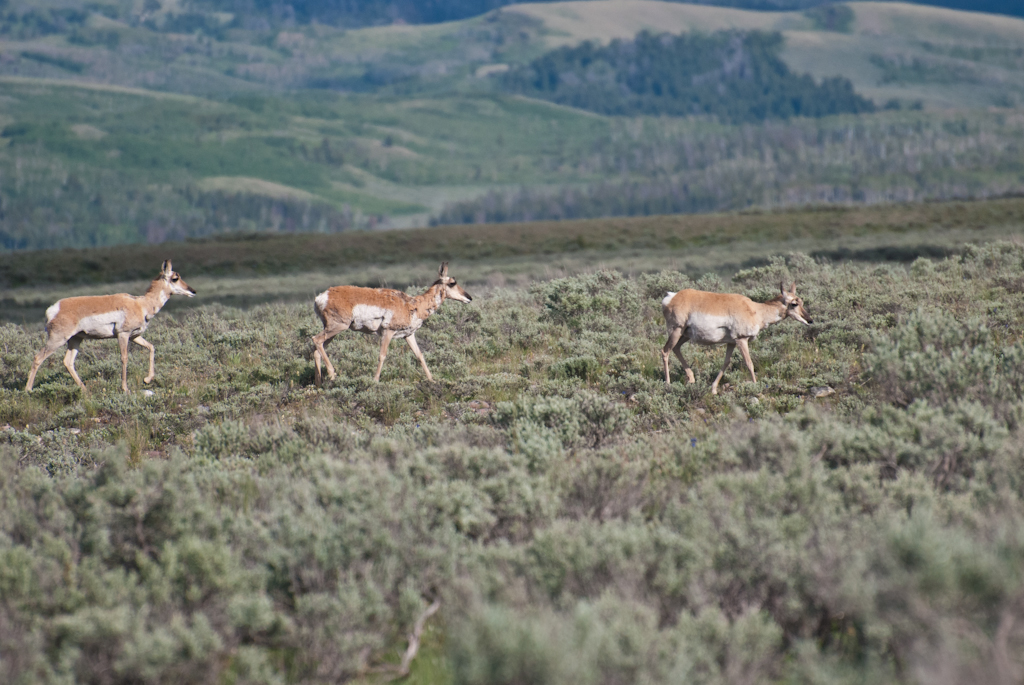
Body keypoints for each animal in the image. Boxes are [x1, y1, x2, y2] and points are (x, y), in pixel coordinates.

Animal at [24, 259, 196, 393]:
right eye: (175, 278)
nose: (193, 291)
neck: (141, 304)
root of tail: (55, 308)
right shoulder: (123, 335)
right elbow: (124, 358)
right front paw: (125, 388)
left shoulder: (135, 336)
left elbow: (151, 347)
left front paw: (147, 379)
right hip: (57, 340)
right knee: (38, 358)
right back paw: (28, 390)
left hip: (75, 340)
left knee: (68, 362)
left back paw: (84, 389)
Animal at [311, 262, 471, 384]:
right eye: (452, 283)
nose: (469, 298)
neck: (412, 304)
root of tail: (322, 296)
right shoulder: (387, 332)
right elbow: (382, 355)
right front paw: (375, 380)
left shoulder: (409, 335)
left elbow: (420, 355)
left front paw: (432, 380)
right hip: (338, 327)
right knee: (316, 340)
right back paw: (332, 374)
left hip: (332, 330)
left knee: (317, 349)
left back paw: (318, 384)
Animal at [663, 280, 815, 393]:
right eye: (794, 304)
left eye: (801, 302)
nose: (810, 321)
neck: (756, 310)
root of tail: (672, 297)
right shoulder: (742, 340)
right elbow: (749, 363)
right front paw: (756, 387)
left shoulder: (731, 342)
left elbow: (726, 362)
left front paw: (713, 389)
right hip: (676, 331)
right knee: (665, 351)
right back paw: (668, 384)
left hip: (685, 335)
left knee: (675, 348)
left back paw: (692, 380)